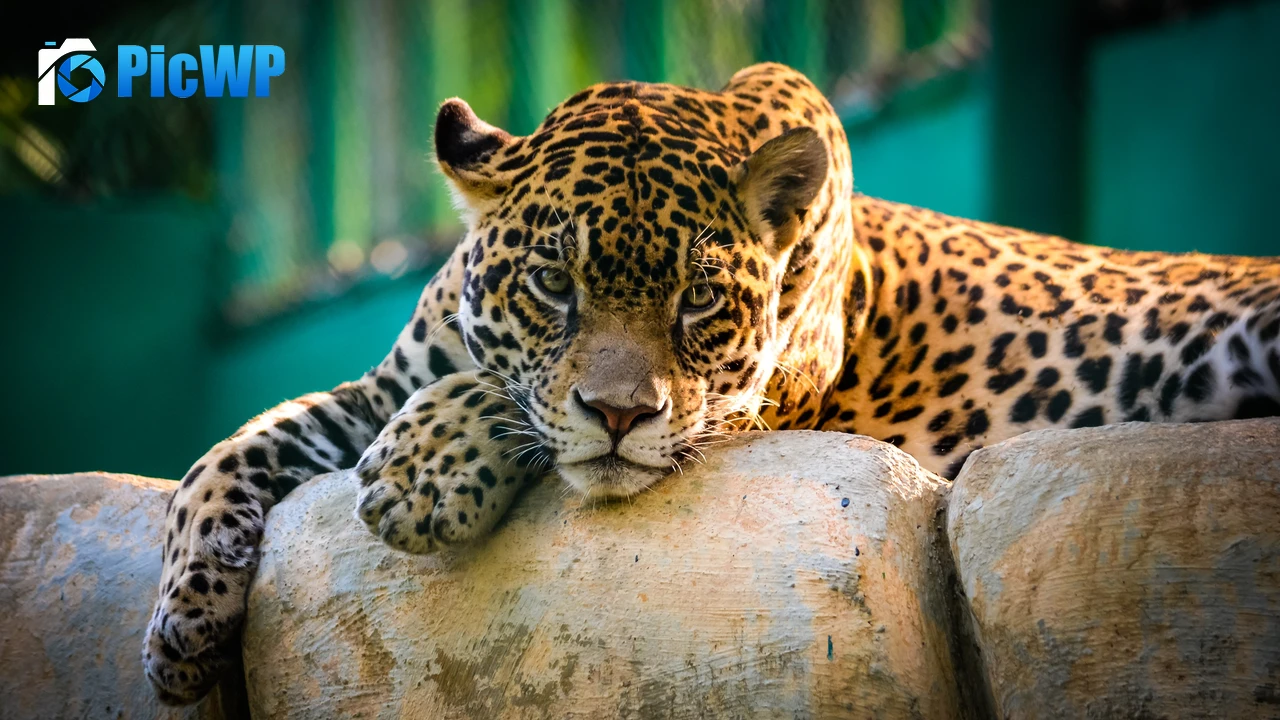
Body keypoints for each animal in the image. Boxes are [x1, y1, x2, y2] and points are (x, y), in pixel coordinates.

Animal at [144, 62, 1280, 703]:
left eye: (697, 300)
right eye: (552, 283)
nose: (619, 414)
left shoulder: (751, 403)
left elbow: (513, 405)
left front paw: (423, 473)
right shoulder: (378, 388)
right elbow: (229, 450)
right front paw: (183, 625)